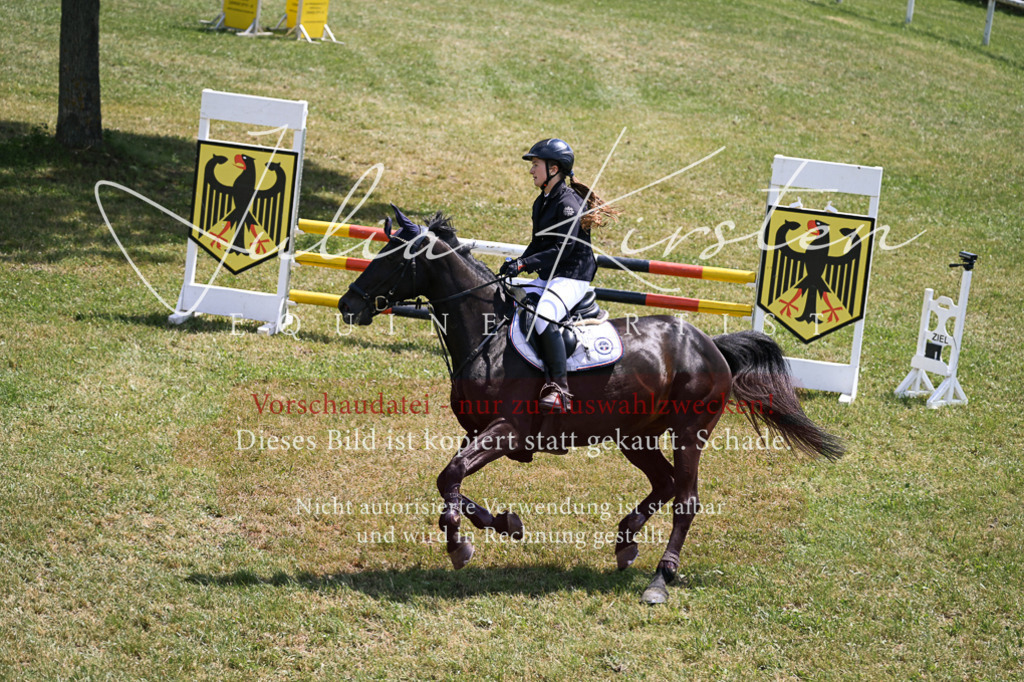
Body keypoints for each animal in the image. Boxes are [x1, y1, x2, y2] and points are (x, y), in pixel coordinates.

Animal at [337, 206, 843, 604]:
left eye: (393, 258)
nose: (347, 304)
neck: (487, 334)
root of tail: (710, 345)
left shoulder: (508, 430)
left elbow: (451, 476)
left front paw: (460, 543)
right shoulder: (478, 431)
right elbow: (452, 481)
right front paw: (501, 524)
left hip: (689, 431)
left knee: (685, 500)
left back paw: (660, 578)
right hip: (635, 435)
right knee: (663, 483)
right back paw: (625, 542)